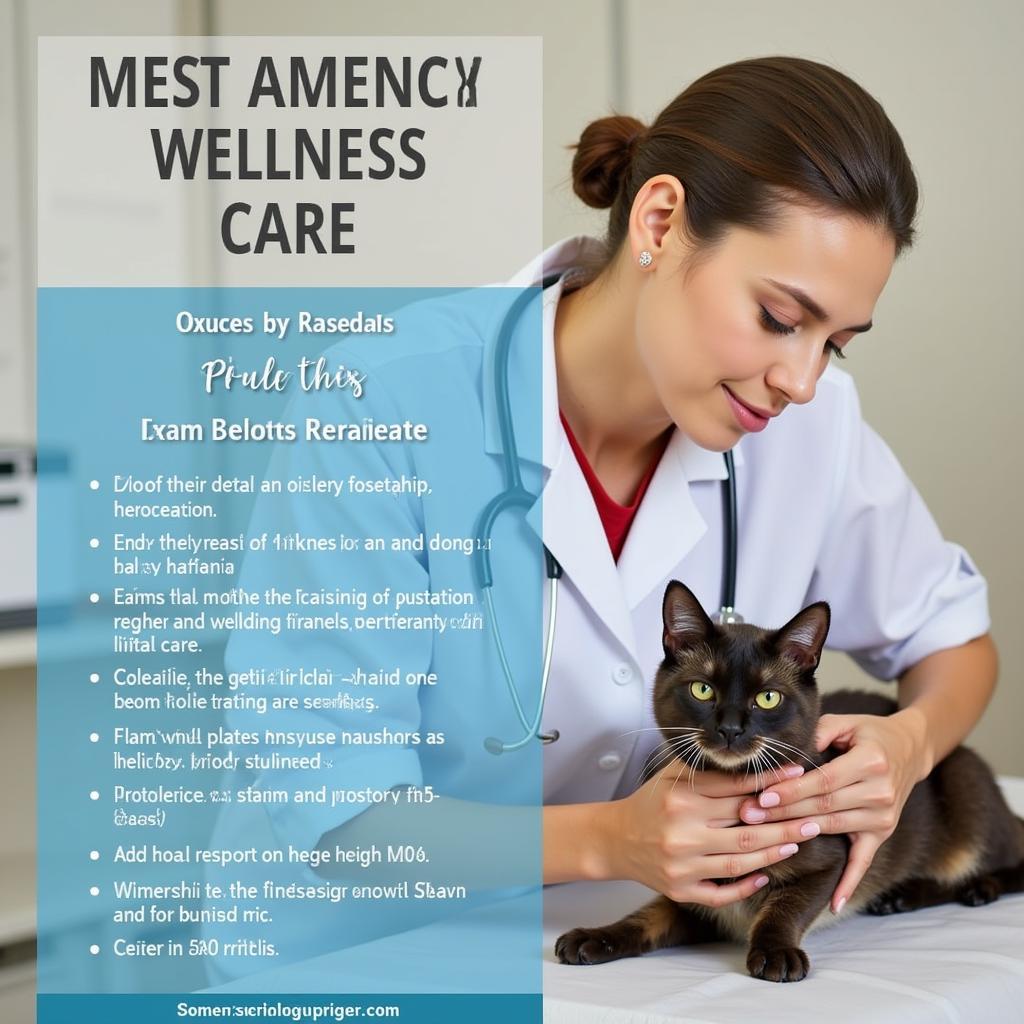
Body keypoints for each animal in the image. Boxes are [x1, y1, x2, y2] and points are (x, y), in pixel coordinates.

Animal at [557, 581, 1024, 978]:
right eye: (702, 690)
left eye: (768, 698)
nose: (730, 729)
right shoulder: (692, 890)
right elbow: (646, 917)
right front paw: (594, 938)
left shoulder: (832, 863)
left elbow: (787, 906)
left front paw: (776, 954)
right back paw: (902, 896)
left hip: (966, 792)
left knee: (1007, 860)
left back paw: (967, 888)